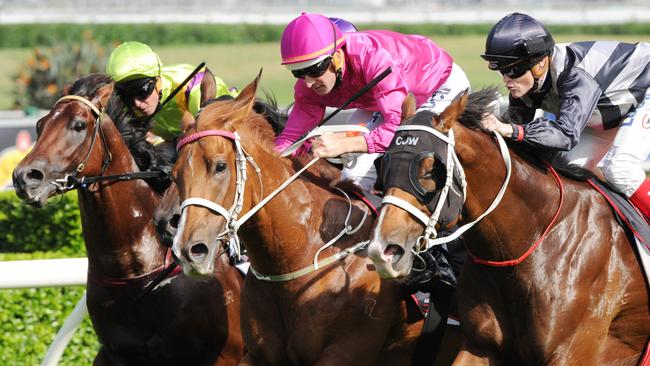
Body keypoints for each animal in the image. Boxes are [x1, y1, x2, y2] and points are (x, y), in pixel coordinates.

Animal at [12, 73, 246, 364]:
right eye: (39, 125)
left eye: (79, 125)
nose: (24, 177)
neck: (136, 274)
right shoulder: (118, 353)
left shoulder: (226, 354)